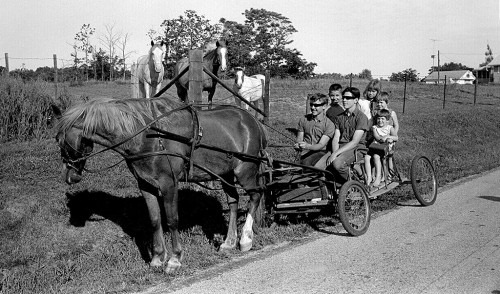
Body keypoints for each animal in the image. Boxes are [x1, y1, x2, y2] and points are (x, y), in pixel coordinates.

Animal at [52, 96, 268, 274]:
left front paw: (174, 260)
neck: (149, 136)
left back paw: (245, 239)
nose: (69, 176)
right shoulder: (145, 184)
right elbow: (155, 219)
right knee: (233, 202)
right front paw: (157, 258)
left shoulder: (169, 183)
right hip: (226, 174)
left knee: (255, 196)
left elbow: (172, 220)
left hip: (245, 172)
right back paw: (229, 242)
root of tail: (253, 121)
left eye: (61, 139)